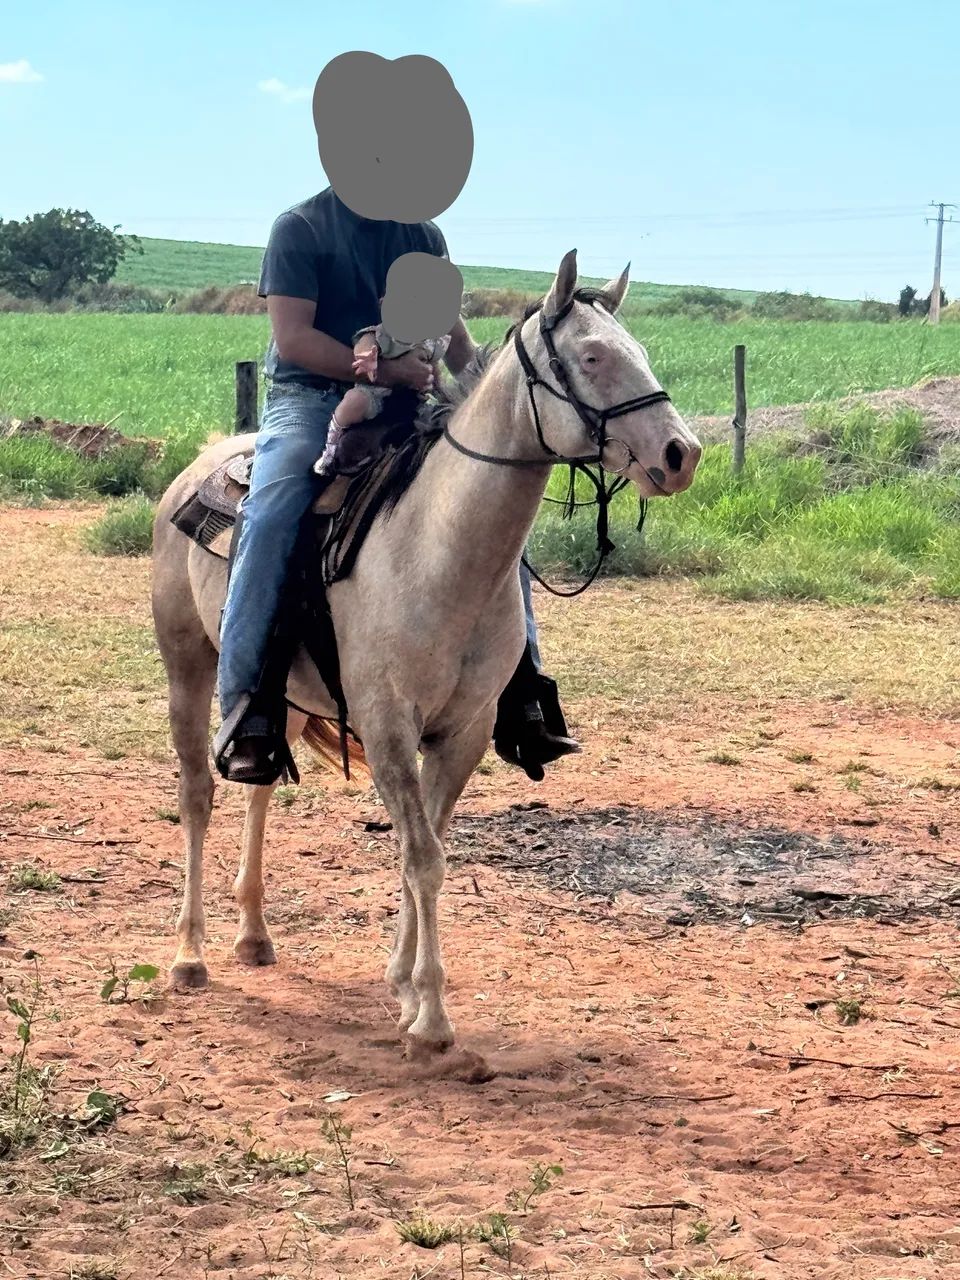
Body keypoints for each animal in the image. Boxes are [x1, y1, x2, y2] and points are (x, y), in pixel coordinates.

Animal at [151, 250, 702, 1054]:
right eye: (594, 357)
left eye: (643, 353)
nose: (681, 453)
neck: (437, 550)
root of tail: (200, 464)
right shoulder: (387, 726)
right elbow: (421, 856)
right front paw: (434, 1019)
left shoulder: (463, 730)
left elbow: (431, 848)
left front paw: (405, 986)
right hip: (188, 665)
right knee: (197, 793)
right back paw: (189, 953)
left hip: (280, 698)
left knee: (259, 783)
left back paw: (253, 933)